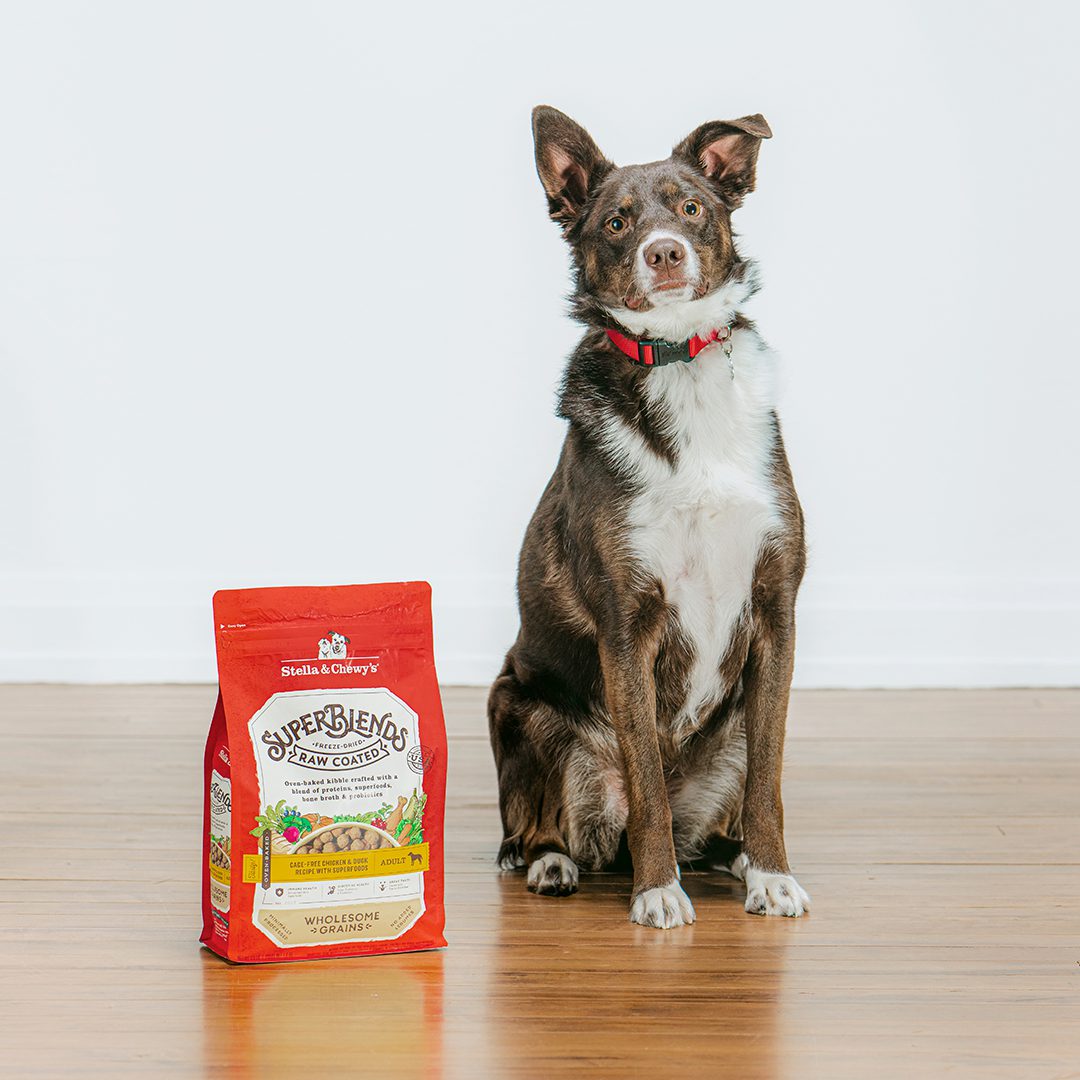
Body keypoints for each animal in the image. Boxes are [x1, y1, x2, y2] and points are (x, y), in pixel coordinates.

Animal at [490, 105, 812, 924]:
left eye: (691, 207)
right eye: (615, 222)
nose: (663, 251)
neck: (680, 363)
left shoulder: (775, 606)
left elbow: (769, 779)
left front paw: (771, 873)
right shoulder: (626, 621)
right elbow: (644, 781)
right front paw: (659, 891)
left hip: (729, 729)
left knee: (720, 814)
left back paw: (735, 857)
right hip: (518, 702)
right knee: (538, 824)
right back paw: (553, 863)